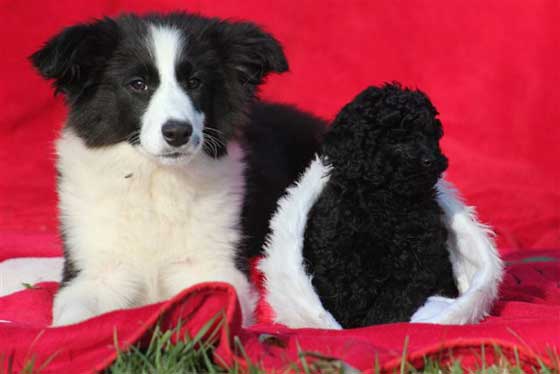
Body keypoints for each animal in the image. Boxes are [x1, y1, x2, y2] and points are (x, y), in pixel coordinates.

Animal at [30, 13, 326, 326]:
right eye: (138, 84)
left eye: (195, 82)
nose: (178, 132)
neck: (155, 180)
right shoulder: (93, 271)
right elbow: (74, 321)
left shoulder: (214, 264)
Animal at [304, 82, 458, 328]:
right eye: (396, 139)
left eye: (431, 136)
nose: (431, 161)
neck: (385, 199)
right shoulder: (333, 247)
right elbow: (338, 289)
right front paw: (342, 324)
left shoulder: (419, 255)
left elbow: (394, 298)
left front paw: (378, 324)